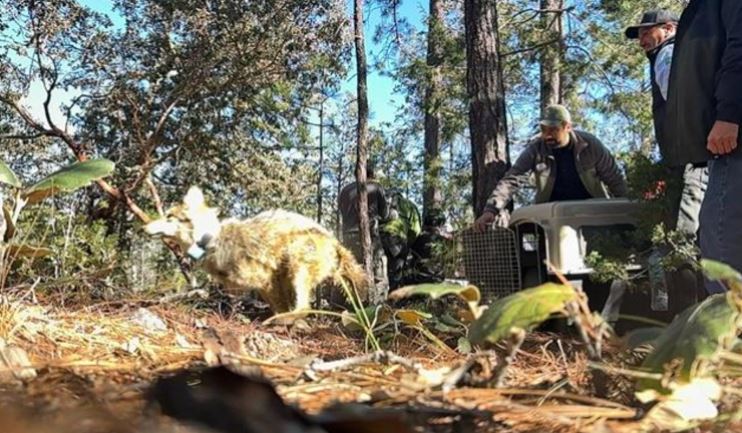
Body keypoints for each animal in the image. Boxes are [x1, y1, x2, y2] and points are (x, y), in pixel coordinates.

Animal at [144, 186, 368, 315]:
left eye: (169, 217)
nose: (143, 228)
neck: (212, 240)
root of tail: (335, 241)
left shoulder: (266, 281)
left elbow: (280, 307)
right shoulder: (266, 285)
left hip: (296, 267)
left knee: (304, 307)